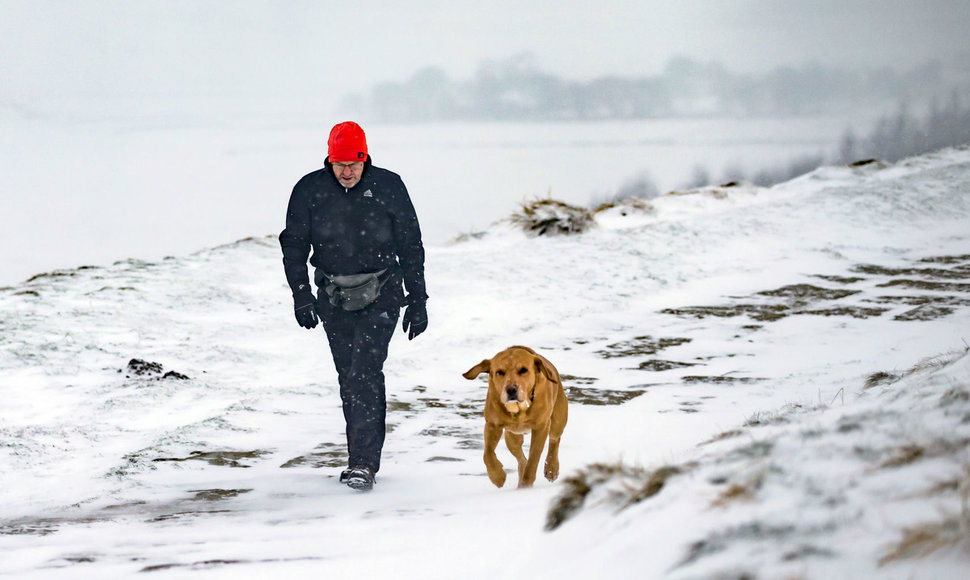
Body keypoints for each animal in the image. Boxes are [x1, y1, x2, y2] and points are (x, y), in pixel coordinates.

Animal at [464, 346, 568, 488]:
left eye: (523, 370)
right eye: (499, 372)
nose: (511, 389)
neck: (518, 408)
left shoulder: (541, 427)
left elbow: (533, 458)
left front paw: (526, 483)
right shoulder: (492, 425)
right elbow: (487, 453)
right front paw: (497, 476)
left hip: (558, 420)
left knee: (554, 439)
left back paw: (551, 468)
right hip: (512, 436)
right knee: (521, 459)